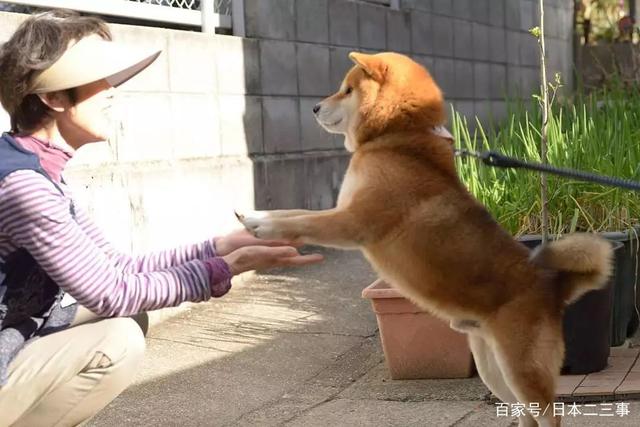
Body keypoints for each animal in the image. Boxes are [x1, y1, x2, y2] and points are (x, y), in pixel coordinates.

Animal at [238, 51, 612, 426]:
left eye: (346, 90)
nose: (314, 108)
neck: (397, 136)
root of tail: (554, 288)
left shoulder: (355, 221)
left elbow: (301, 221)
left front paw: (262, 228)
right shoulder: (343, 210)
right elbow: (291, 212)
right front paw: (252, 216)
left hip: (522, 370)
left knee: (548, 415)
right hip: (495, 370)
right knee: (524, 413)